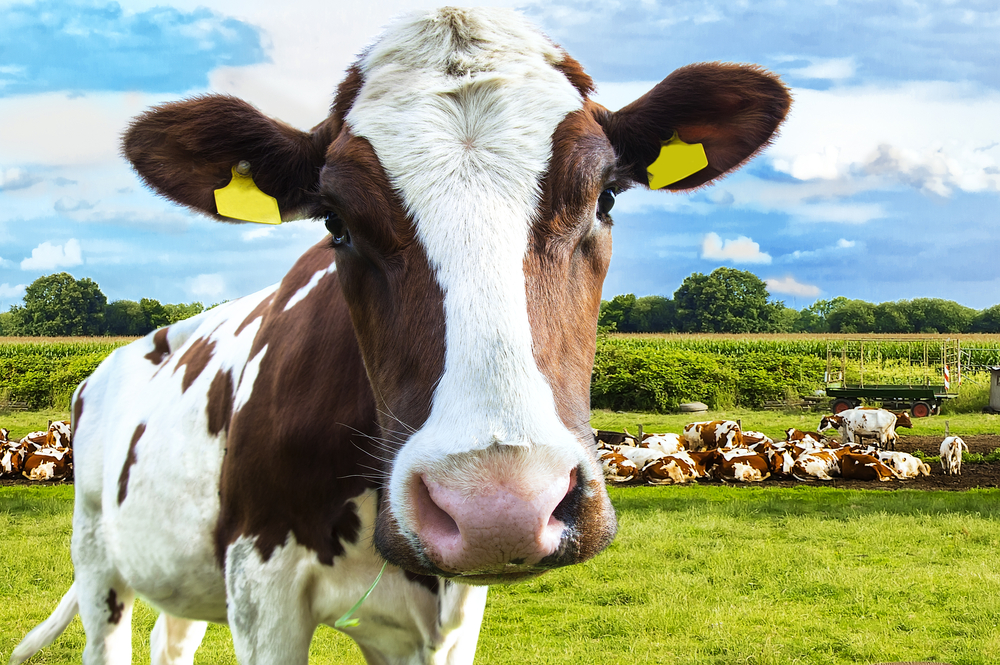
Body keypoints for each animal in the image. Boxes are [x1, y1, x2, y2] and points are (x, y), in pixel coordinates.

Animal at [10, 8, 789, 665]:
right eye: (335, 221)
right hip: (96, 559)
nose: (497, 508)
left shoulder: (447, 612)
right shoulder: (262, 590)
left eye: (606, 197)